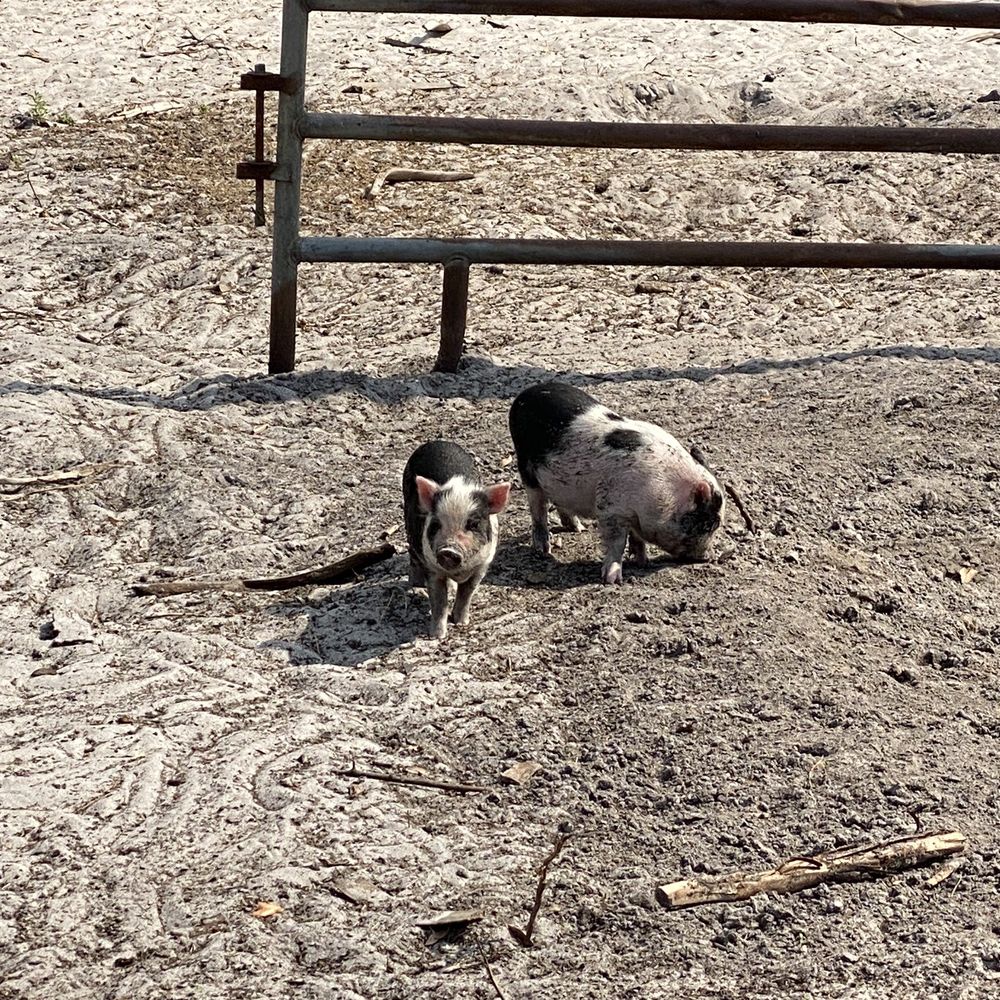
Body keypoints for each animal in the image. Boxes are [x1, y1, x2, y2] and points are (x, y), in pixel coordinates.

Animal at [402, 440, 511, 638]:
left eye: (473, 524)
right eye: (436, 524)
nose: (448, 550)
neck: (459, 571)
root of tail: (437, 442)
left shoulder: (482, 566)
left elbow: (466, 594)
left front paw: (461, 623)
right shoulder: (433, 568)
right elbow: (439, 601)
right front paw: (437, 636)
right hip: (410, 527)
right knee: (412, 555)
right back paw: (415, 587)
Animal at [508, 381, 725, 585]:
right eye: (709, 524)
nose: (709, 557)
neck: (664, 492)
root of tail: (524, 395)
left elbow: (637, 537)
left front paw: (643, 561)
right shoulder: (611, 508)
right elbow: (617, 542)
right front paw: (612, 579)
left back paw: (578, 528)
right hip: (526, 468)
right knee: (538, 508)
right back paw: (544, 549)